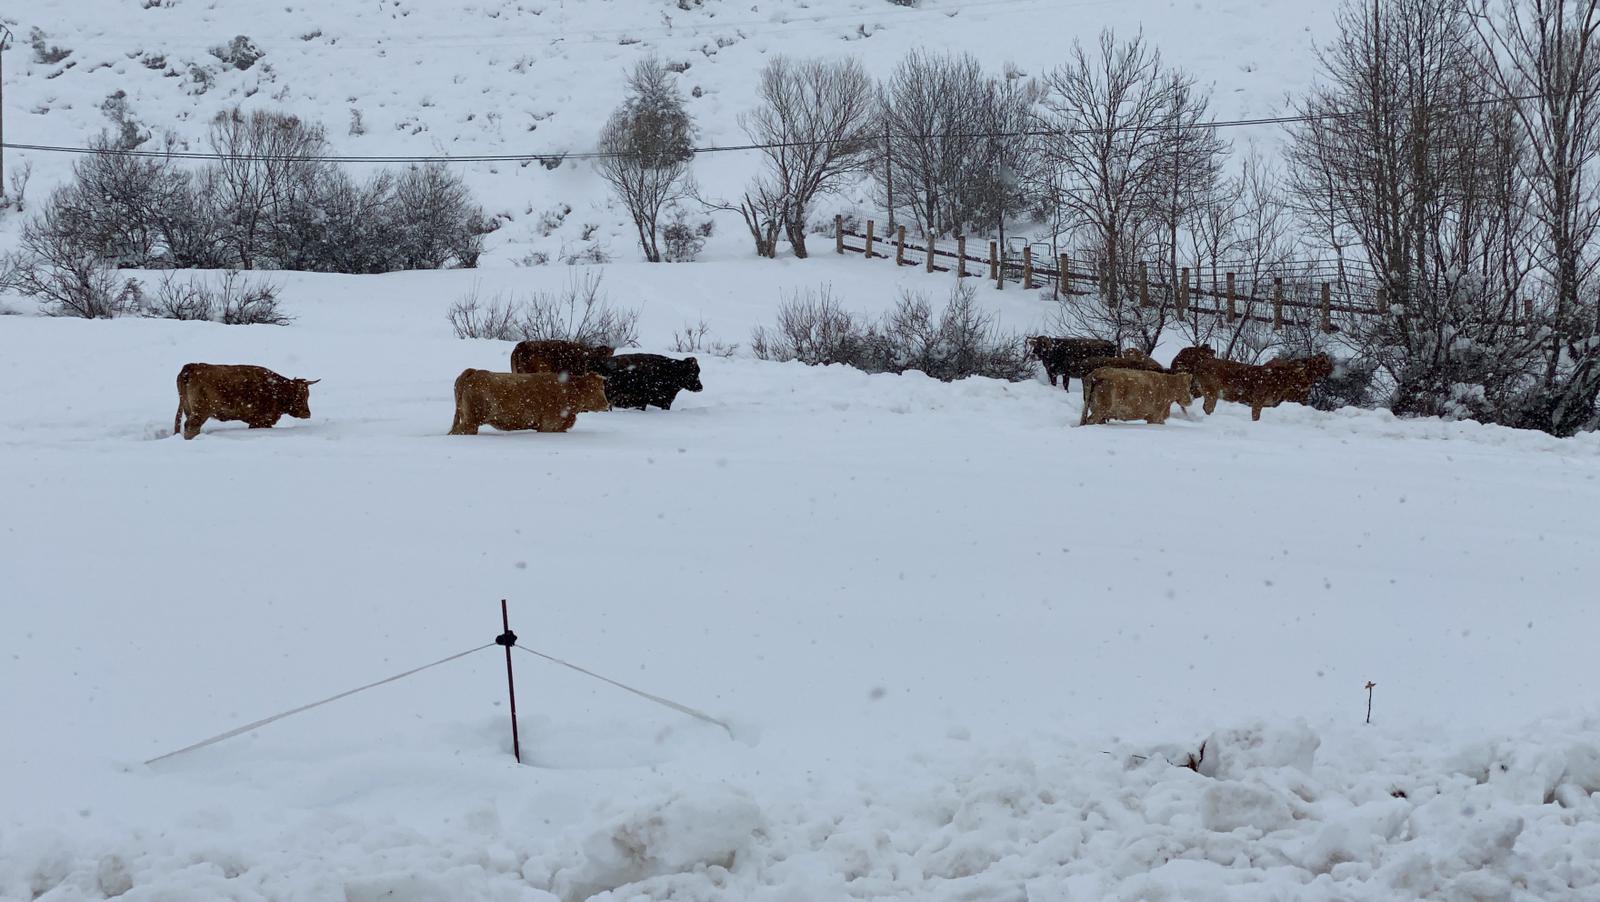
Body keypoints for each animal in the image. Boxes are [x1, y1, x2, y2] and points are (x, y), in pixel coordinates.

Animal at [175, 363, 318, 441]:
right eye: (301, 395)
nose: (307, 413)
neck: (277, 390)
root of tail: (191, 366)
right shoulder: (261, 421)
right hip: (201, 411)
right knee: (191, 426)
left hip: (188, 408)